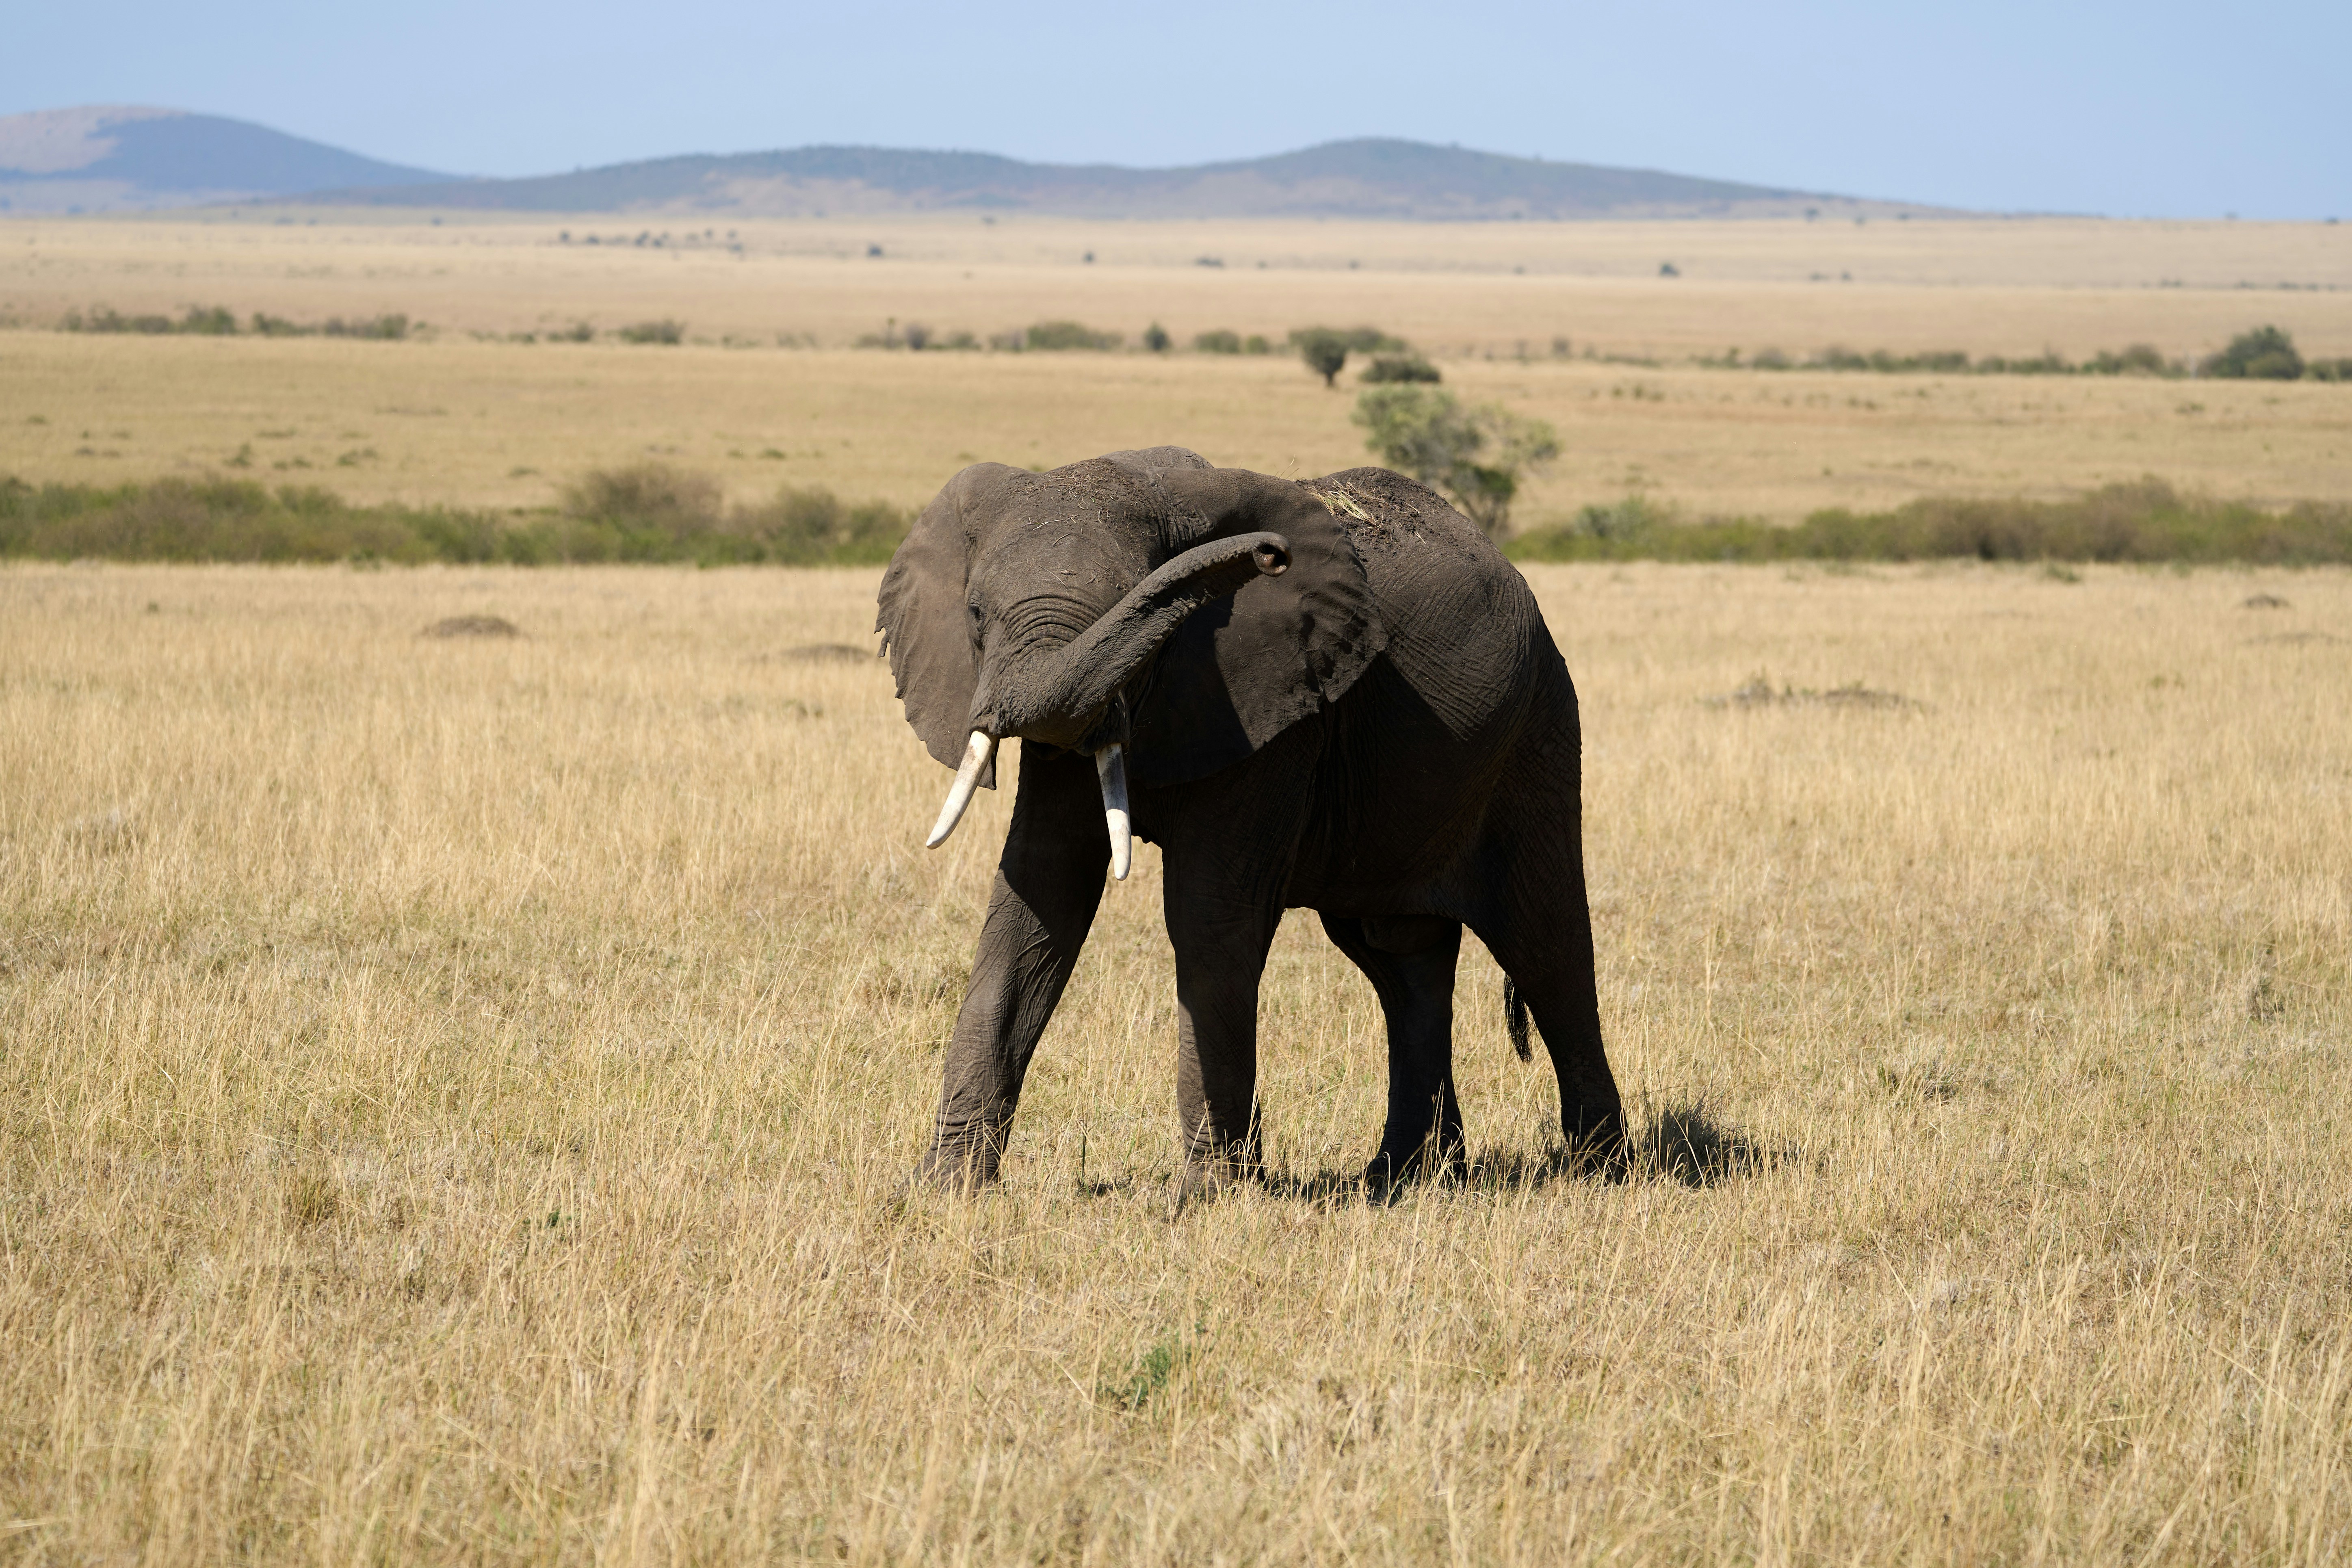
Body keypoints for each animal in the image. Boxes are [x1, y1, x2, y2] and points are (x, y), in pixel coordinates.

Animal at [875, 447, 1622, 1200]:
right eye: (975, 614)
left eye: (1145, 624)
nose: (1269, 554)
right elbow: (1035, 900)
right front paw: (942, 1189)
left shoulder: (1277, 708)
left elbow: (1207, 916)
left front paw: (1208, 1198)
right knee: (1401, 963)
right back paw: (1407, 1177)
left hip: (1536, 734)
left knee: (1546, 948)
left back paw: (1599, 1170)